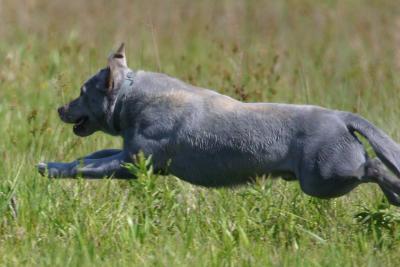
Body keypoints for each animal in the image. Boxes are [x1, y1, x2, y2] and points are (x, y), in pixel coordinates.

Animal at [37, 44, 400, 206]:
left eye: (81, 92)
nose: (59, 108)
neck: (130, 99)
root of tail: (341, 116)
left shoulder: (135, 163)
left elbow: (87, 168)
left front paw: (49, 169)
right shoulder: (129, 154)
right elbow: (91, 157)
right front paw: (53, 163)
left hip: (323, 178)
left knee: (373, 167)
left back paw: (394, 191)